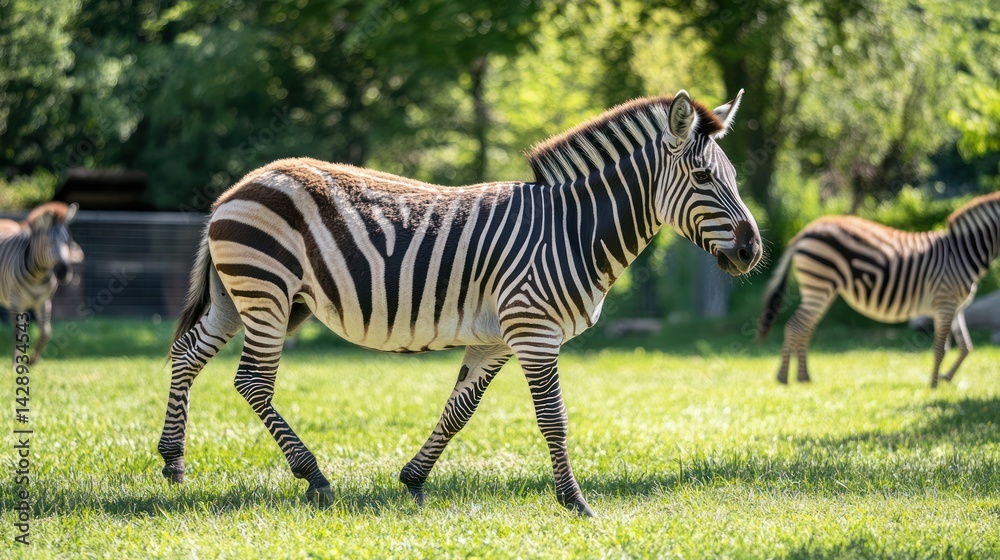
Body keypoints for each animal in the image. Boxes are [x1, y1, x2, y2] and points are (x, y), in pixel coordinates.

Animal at [0, 202, 83, 364]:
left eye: (68, 241)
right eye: (48, 242)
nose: (63, 273)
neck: (37, 276)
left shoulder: (44, 302)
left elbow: (46, 331)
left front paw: (32, 361)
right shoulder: (16, 301)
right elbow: (19, 333)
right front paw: (16, 364)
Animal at [158, 89, 762, 516]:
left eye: (734, 177)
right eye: (703, 177)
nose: (753, 250)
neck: (572, 230)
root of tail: (236, 188)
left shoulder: (496, 337)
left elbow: (459, 411)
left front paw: (413, 480)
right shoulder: (533, 329)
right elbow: (554, 418)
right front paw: (575, 502)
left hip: (239, 297)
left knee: (187, 354)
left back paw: (173, 462)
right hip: (268, 292)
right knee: (252, 382)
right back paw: (313, 476)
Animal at [758, 191, 1000, 388]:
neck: (963, 252)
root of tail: (804, 232)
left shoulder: (956, 306)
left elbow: (966, 347)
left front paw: (946, 378)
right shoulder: (945, 302)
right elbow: (942, 347)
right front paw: (933, 385)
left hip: (821, 289)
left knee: (805, 328)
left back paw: (803, 377)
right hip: (819, 283)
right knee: (796, 327)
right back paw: (783, 377)